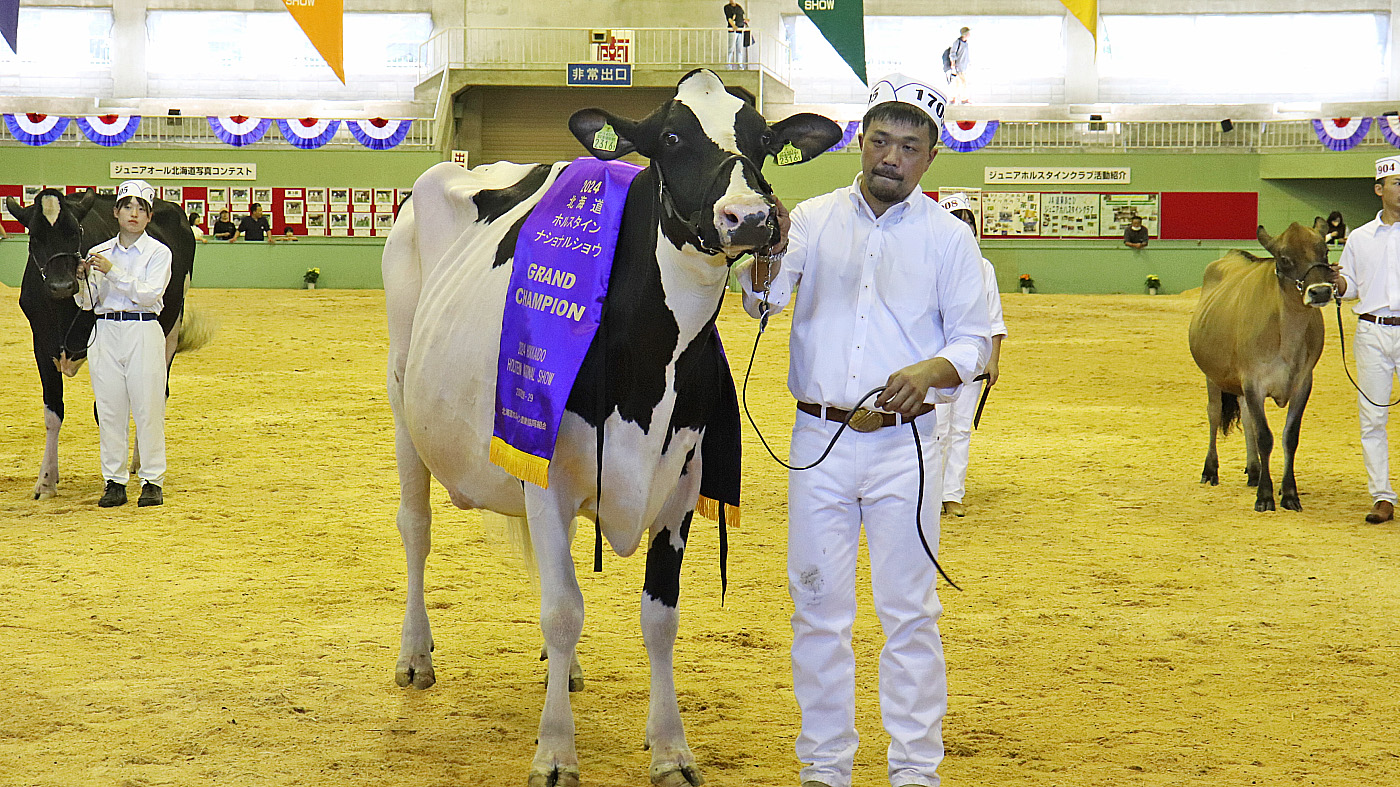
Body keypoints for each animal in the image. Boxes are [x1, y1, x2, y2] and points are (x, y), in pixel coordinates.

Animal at [6, 184, 197, 495]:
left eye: (76, 233)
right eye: (34, 236)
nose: (62, 286)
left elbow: (105, 410)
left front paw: (113, 476)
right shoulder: (41, 345)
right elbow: (53, 413)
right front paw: (46, 480)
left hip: (171, 327)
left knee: (156, 393)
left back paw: (139, 461)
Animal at [1192, 224, 1332, 512]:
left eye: (1325, 251)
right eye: (1284, 258)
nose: (1321, 292)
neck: (1287, 337)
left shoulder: (1303, 382)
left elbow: (1290, 436)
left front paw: (1289, 493)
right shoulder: (1253, 381)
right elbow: (1265, 437)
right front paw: (1266, 497)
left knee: (1246, 418)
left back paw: (1255, 470)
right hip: (1212, 375)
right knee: (1213, 414)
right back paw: (1210, 470)